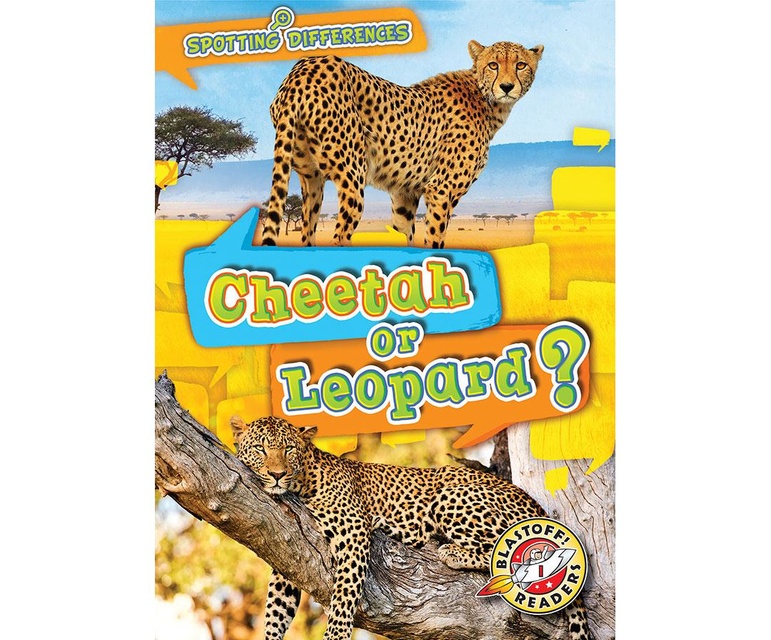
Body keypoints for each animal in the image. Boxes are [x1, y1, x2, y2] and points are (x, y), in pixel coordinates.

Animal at [231, 415, 593, 640]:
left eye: (288, 449)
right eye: (260, 448)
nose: (277, 474)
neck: (303, 481)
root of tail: (537, 505)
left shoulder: (353, 532)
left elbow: (344, 596)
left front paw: (335, 634)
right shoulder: (290, 547)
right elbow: (276, 608)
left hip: (451, 495)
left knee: (515, 554)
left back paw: (450, 551)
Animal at [259, 39, 543, 248]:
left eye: (520, 65)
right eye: (493, 65)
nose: (506, 87)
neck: (487, 100)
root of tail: (303, 68)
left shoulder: (405, 193)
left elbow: (403, 233)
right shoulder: (440, 189)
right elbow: (435, 239)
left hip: (311, 179)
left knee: (308, 232)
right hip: (353, 177)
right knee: (340, 235)